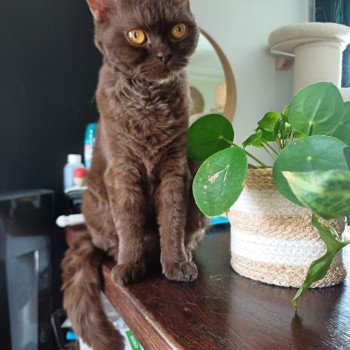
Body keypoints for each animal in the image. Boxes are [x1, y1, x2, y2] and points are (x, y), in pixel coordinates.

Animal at [61, 0, 206, 348]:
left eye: (178, 30)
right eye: (137, 35)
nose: (164, 54)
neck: (149, 101)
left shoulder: (175, 168)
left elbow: (173, 221)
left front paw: (176, 264)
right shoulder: (123, 171)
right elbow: (128, 224)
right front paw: (129, 266)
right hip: (94, 203)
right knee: (111, 238)